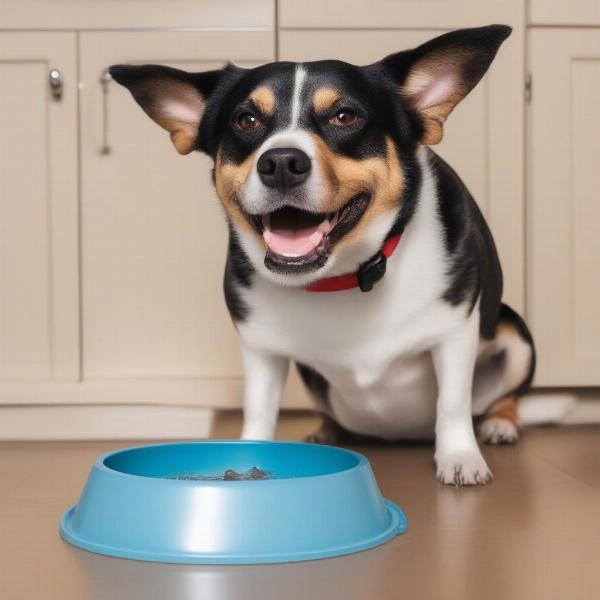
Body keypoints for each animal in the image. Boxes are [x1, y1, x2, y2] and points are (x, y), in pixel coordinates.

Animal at [110, 25, 536, 488]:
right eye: (246, 120)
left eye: (345, 116)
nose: (281, 162)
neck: (344, 277)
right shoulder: (261, 349)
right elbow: (258, 412)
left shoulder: (456, 332)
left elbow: (453, 403)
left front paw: (459, 456)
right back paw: (326, 432)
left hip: (515, 335)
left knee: (502, 398)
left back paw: (500, 424)